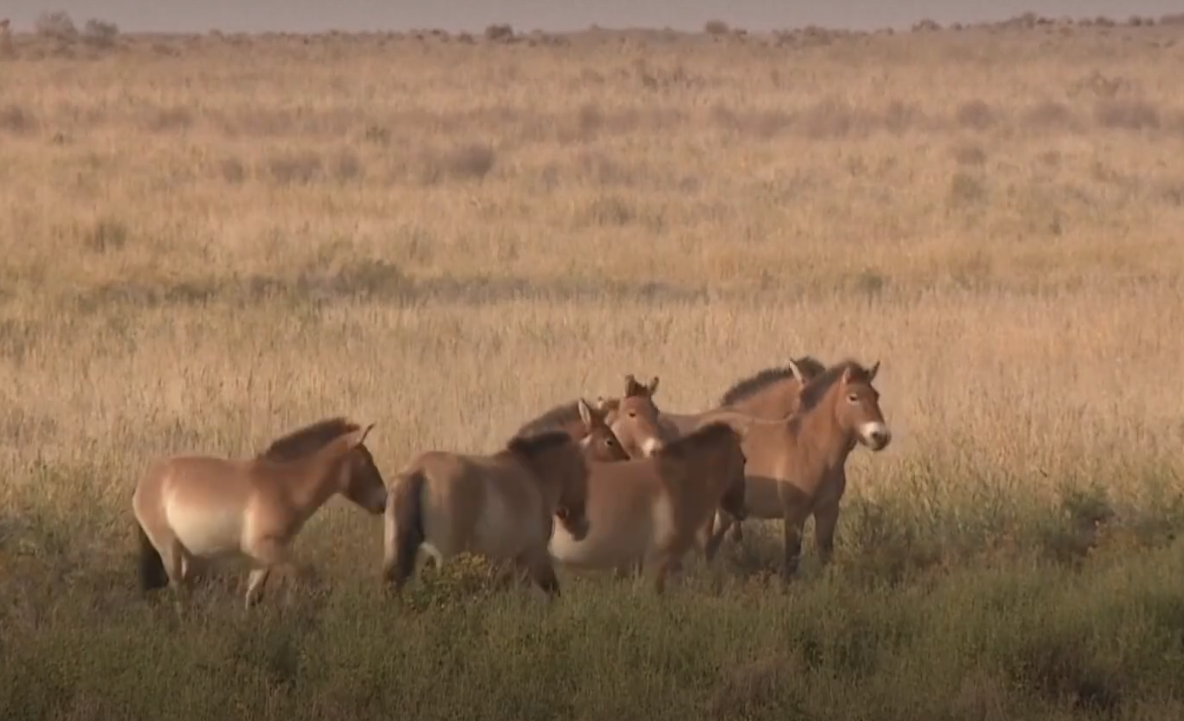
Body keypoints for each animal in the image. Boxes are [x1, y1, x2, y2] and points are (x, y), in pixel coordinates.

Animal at [134, 416, 385, 606]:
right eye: (367, 461)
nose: (384, 500)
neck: (286, 486)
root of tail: (144, 484)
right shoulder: (265, 549)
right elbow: (306, 575)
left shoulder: (263, 558)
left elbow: (253, 596)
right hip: (170, 550)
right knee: (178, 591)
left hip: (188, 554)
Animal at [383, 426, 592, 596]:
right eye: (586, 472)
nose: (583, 528)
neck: (534, 475)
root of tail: (418, 471)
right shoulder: (534, 555)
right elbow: (552, 591)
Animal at [691, 357, 890, 580]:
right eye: (853, 397)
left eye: (876, 396)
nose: (879, 436)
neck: (810, 448)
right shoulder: (794, 513)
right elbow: (791, 561)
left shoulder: (828, 510)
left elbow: (825, 556)